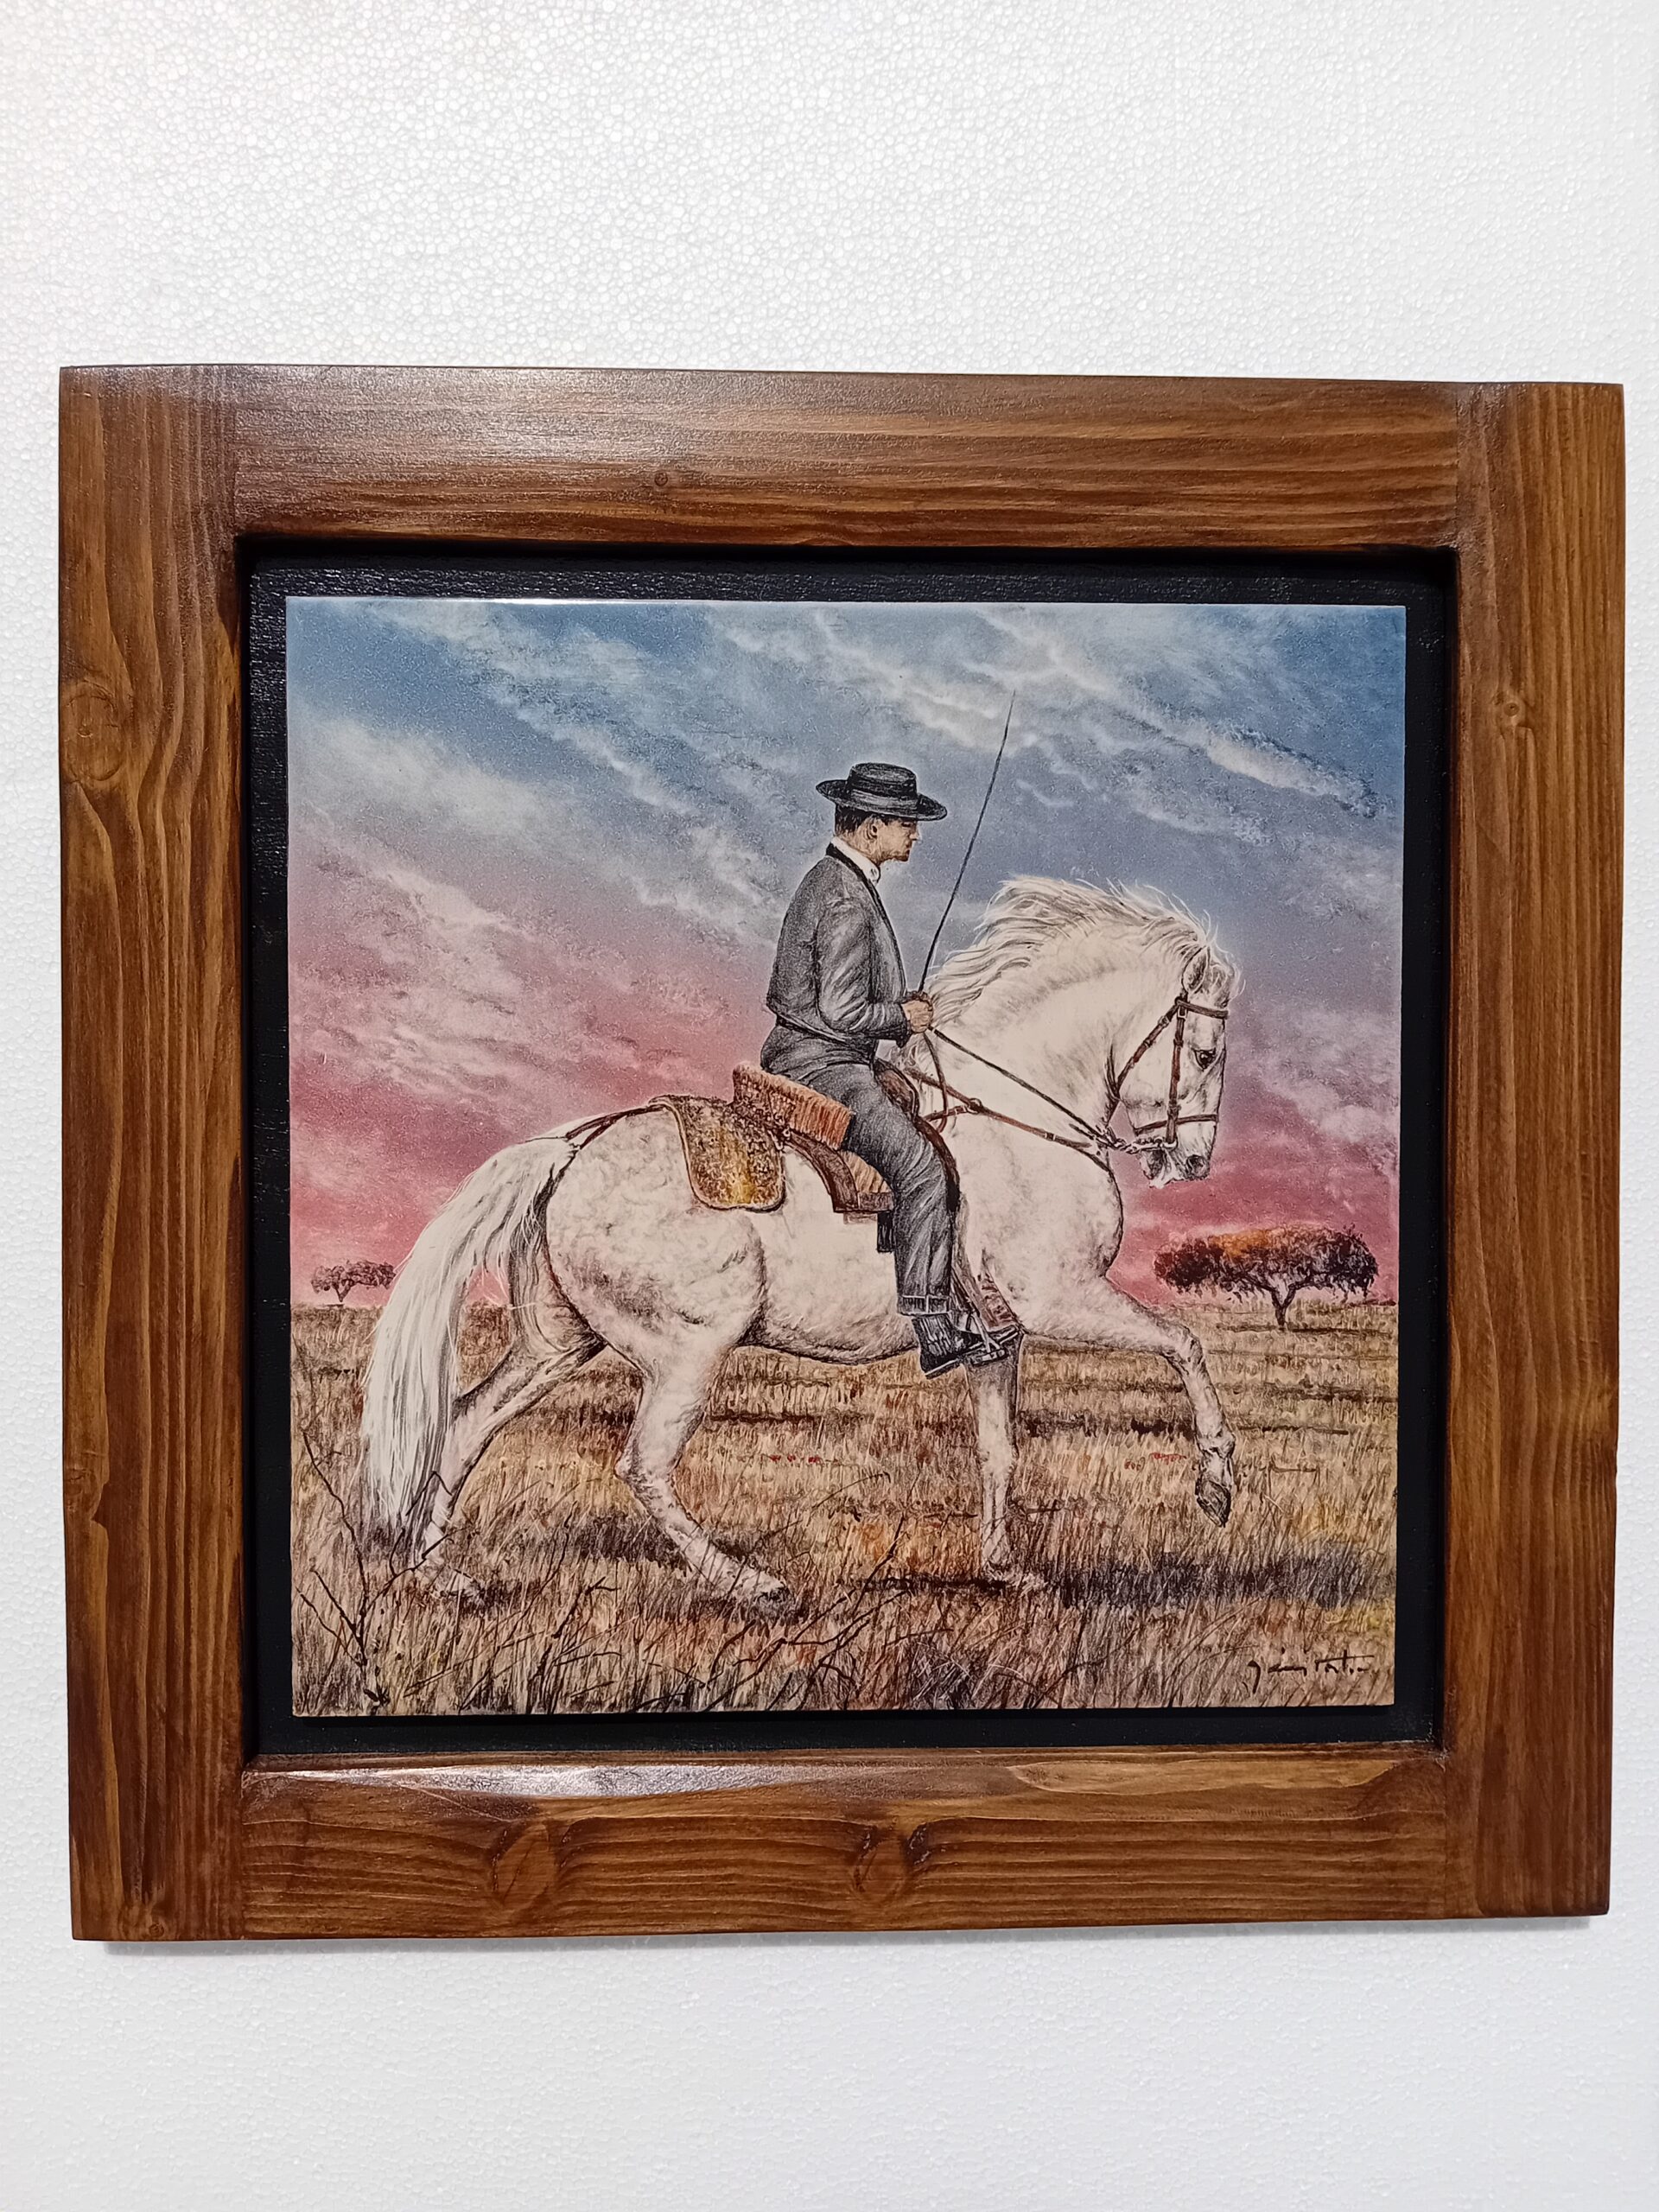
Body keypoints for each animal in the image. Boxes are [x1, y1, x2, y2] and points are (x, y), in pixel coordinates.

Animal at [360, 877, 1240, 1610]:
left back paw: (441, 1576)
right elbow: (1186, 1343)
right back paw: (749, 1583)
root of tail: (573, 1146)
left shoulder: (1002, 1335)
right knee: (643, 1464)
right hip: (687, 1350)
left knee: (464, 1424)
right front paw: (1218, 1483)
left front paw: (1005, 1569)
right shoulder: (1060, 1299)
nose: (1193, 1162)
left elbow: (999, 1450)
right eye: (1203, 1052)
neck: (1020, 1119)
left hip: (556, 1343)